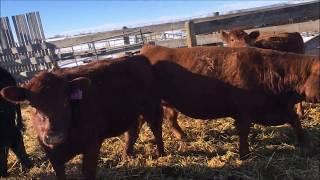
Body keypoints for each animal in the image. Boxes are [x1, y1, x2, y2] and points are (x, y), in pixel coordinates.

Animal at [0, 55, 164, 179]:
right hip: (130, 112)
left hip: (151, 105)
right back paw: (126, 156)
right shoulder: (51, 154)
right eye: (32, 105)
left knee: (156, 127)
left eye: (66, 101)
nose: (54, 136)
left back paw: (161, 154)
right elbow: (60, 174)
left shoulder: (92, 144)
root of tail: (138, 57)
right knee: (132, 131)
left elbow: (87, 172)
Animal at [141, 44, 320, 158]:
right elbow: (243, 131)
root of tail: (148, 49)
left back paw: (181, 136)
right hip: (150, 105)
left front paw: (306, 144)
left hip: (167, 104)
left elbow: (295, 120)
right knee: (154, 125)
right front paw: (244, 154)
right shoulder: (244, 111)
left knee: (170, 119)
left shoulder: (277, 109)